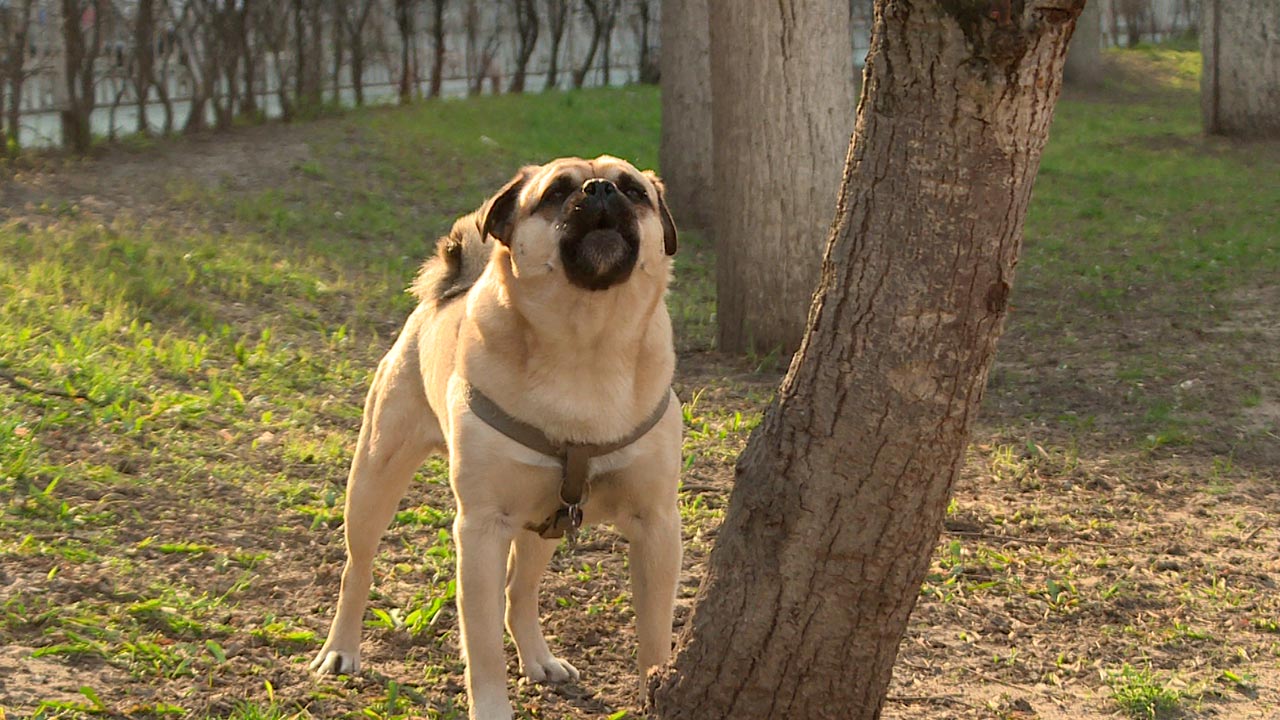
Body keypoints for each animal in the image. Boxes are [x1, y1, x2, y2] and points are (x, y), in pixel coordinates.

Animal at [311, 154, 686, 712]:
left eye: (634, 191)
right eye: (555, 193)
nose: (600, 190)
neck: (587, 341)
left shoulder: (656, 527)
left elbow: (655, 638)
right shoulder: (482, 529)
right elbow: (482, 644)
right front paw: (490, 708)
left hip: (545, 523)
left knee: (520, 594)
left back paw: (539, 659)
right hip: (374, 480)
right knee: (356, 570)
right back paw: (341, 649)